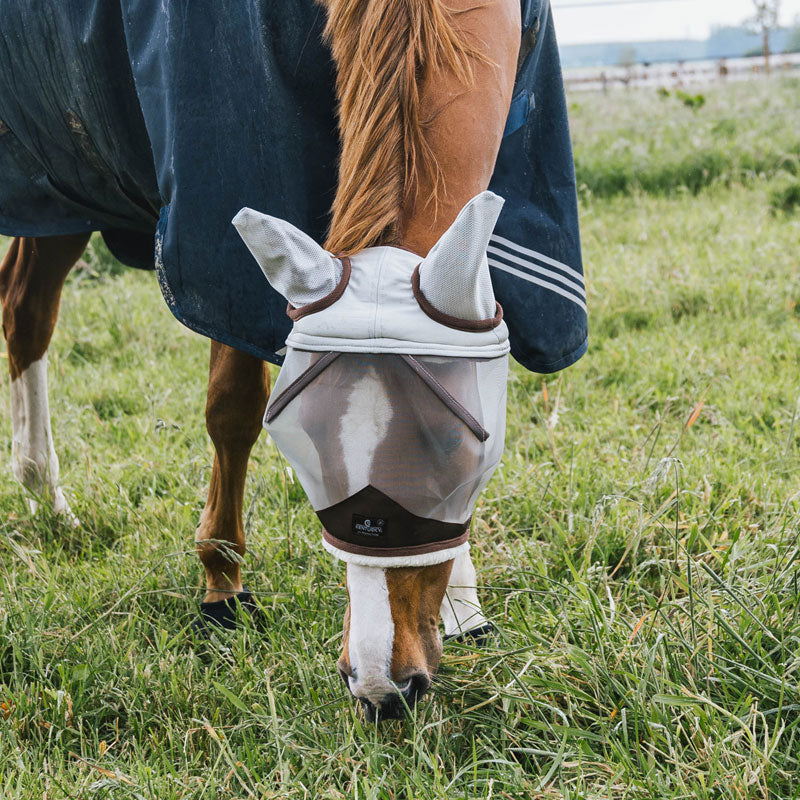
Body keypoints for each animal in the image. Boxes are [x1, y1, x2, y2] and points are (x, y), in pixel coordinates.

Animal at [1, 0, 588, 720]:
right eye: (302, 446)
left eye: (460, 454)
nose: (379, 686)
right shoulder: (220, 230)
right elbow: (233, 410)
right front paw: (222, 585)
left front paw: (461, 602)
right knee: (28, 311)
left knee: (25, 306)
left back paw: (45, 496)